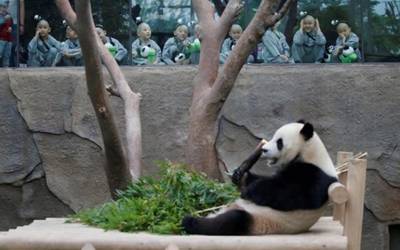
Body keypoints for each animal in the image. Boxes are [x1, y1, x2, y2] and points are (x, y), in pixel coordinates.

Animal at [184, 122, 338, 235]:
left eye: (279, 142)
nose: (264, 149)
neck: (309, 152)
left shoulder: (315, 174)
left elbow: (290, 193)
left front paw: (248, 191)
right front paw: (240, 176)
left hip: (260, 220)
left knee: (233, 220)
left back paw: (190, 222)